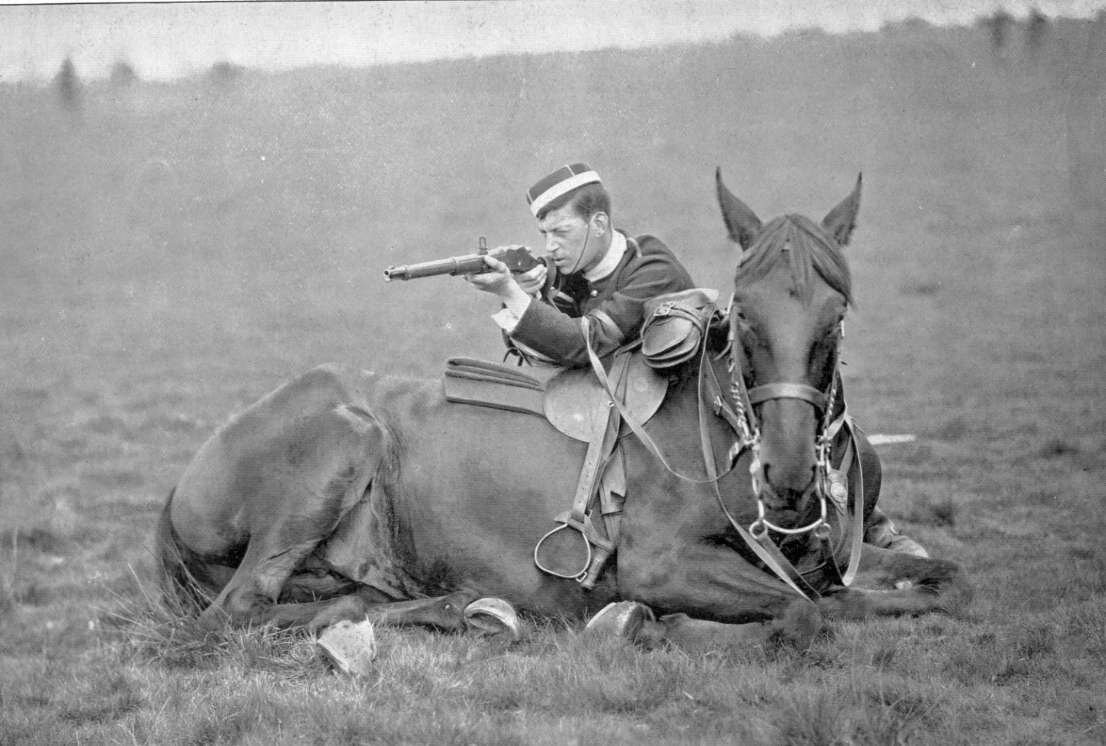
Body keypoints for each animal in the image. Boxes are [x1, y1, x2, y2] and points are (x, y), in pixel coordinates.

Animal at [155, 172, 968, 649]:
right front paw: (654, 625)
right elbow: (806, 613)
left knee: (336, 601)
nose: (790, 480)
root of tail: (179, 489)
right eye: (747, 315)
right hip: (344, 440)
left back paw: (456, 608)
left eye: (836, 316)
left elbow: (942, 581)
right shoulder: (660, 566)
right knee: (236, 611)